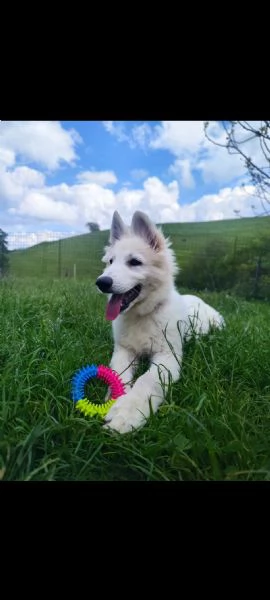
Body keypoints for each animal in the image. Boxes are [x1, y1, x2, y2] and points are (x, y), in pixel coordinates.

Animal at [96, 213, 225, 434]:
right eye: (110, 261)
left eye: (134, 262)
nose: (102, 282)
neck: (143, 315)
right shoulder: (124, 350)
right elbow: (118, 373)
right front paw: (114, 400)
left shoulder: (167, 357)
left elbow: (146, 380)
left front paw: (127, 413)